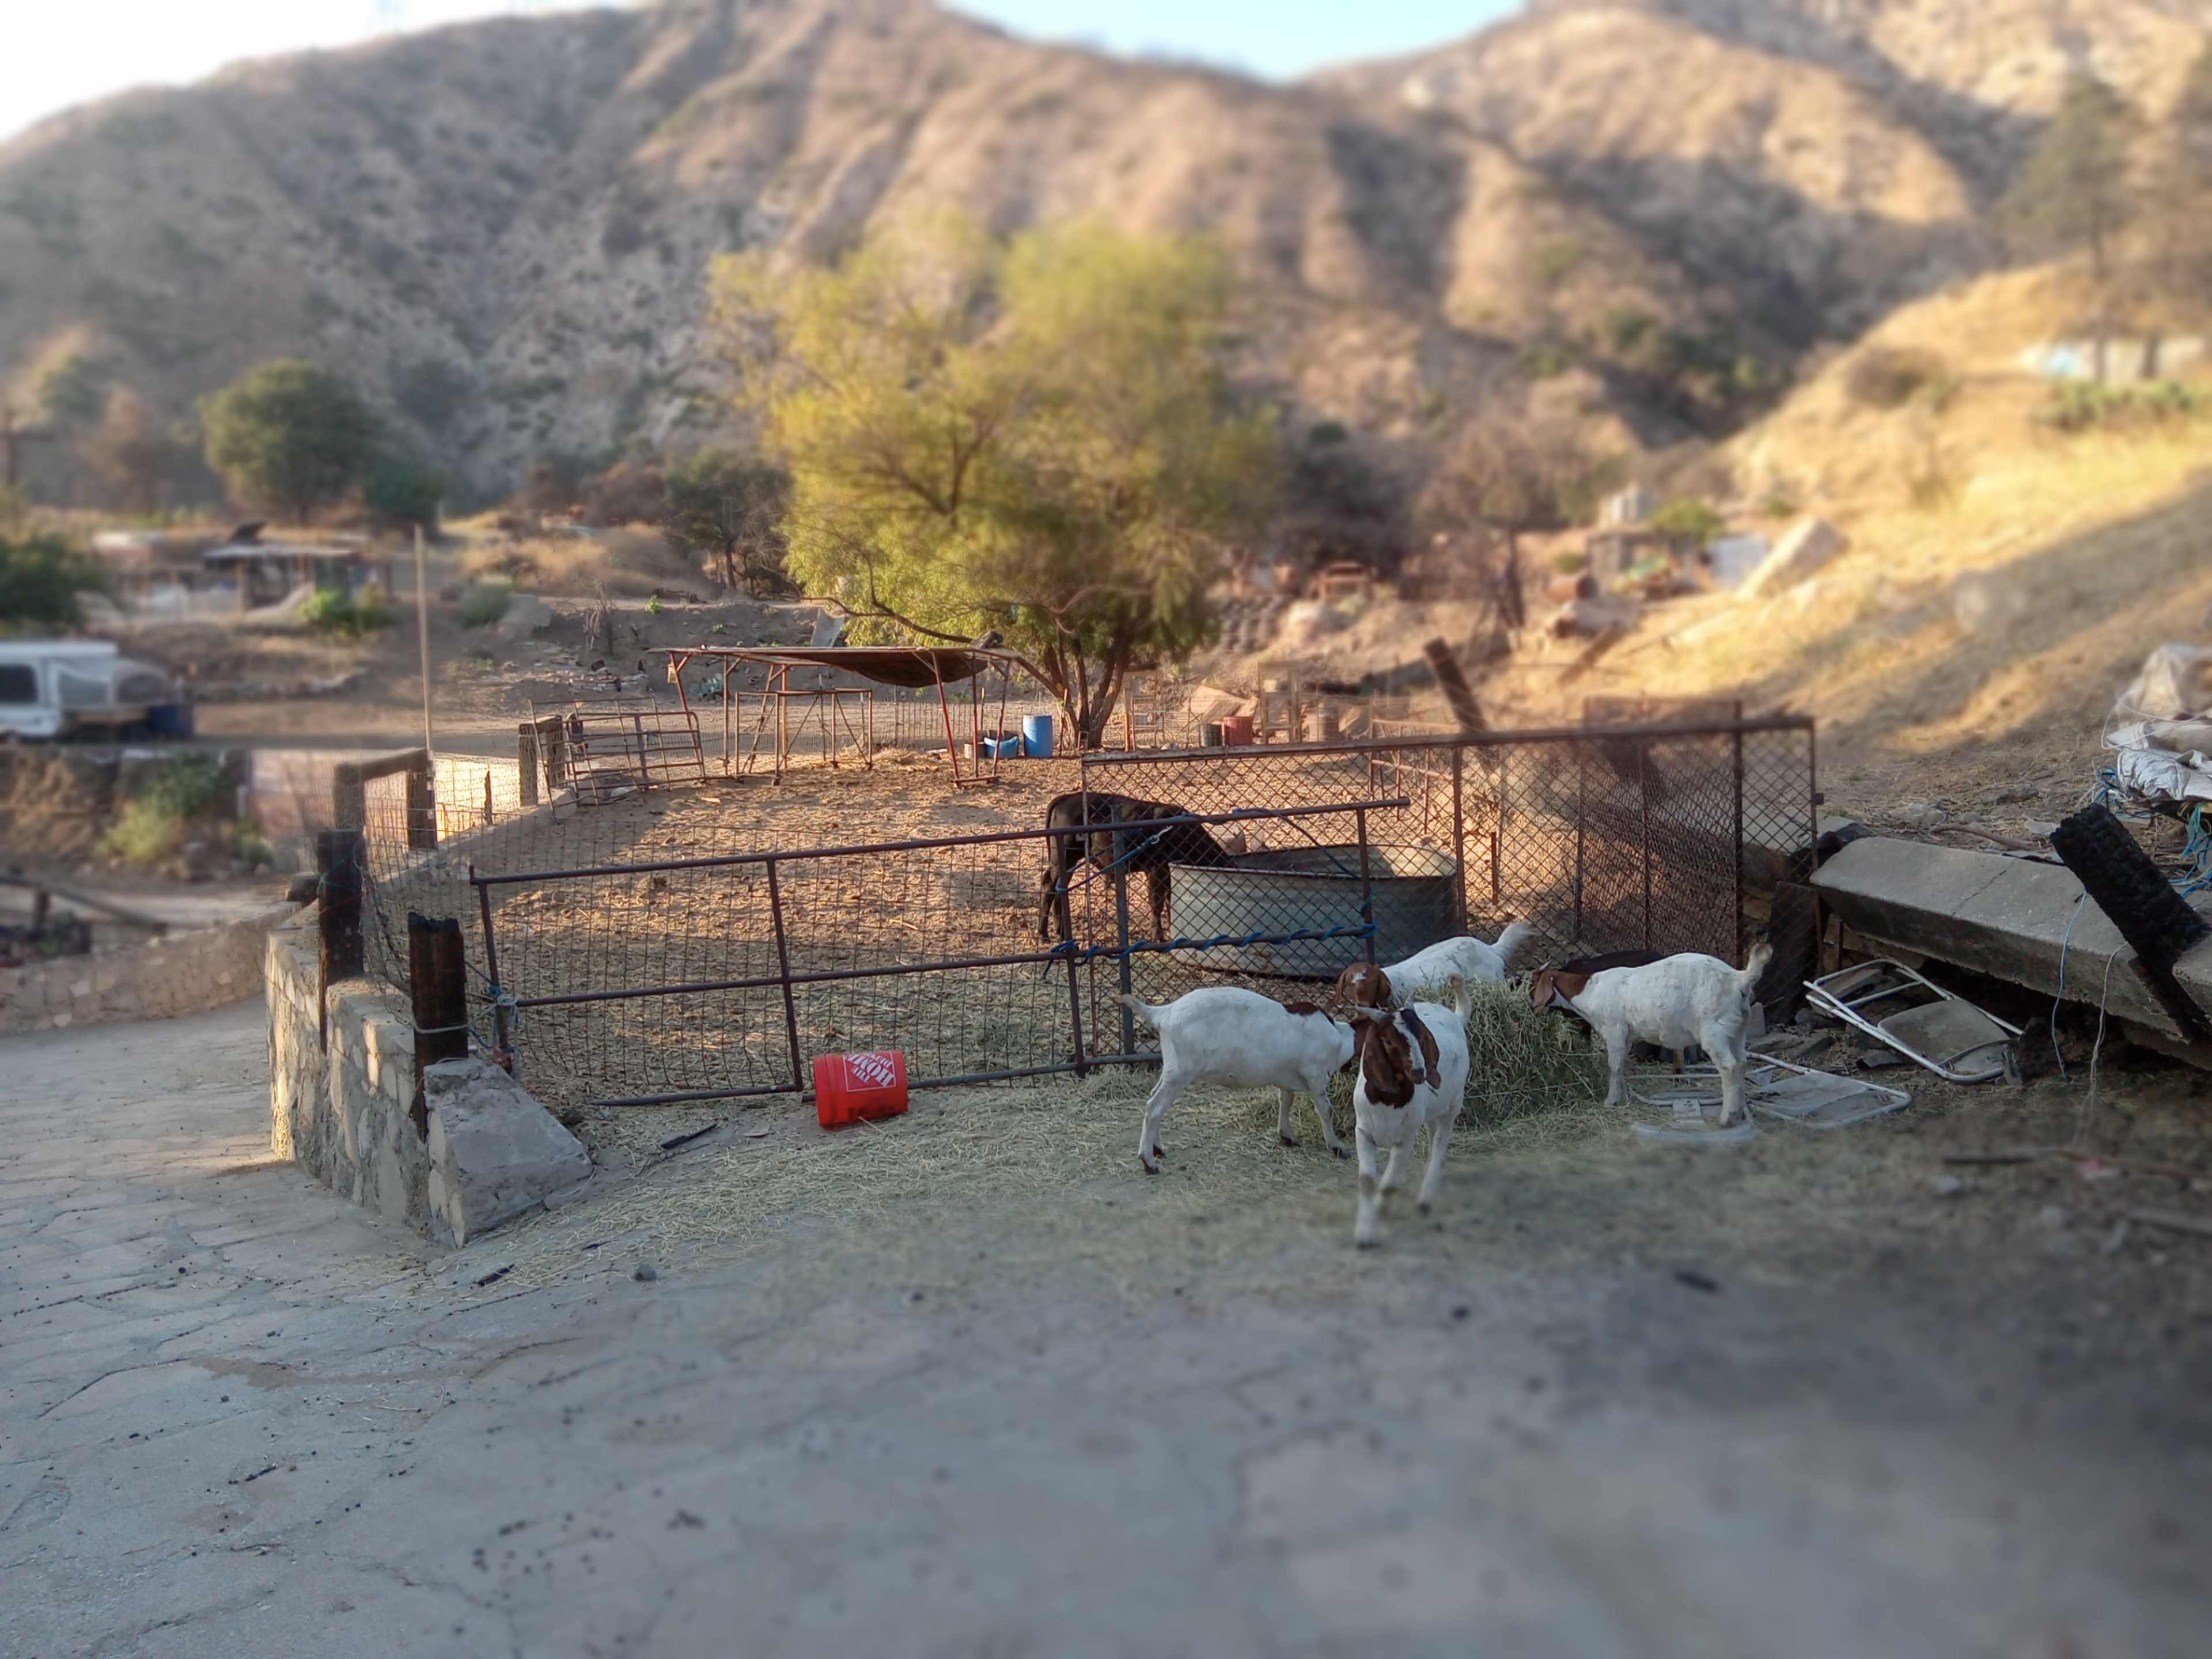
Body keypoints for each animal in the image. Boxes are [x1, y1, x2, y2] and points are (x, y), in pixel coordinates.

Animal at [1037, 792, 1234, 943]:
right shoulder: (1157, 869)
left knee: (1059, 889)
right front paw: (1158, 936)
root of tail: (1065, 798)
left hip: (1068, 862)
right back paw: (1044, 935)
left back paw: (1061, 933)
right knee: (1049, 887)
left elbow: (1170, 900)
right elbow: (1157, 903)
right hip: (1065, 858)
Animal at [1120, 988, 1354, 1174]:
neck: (1340, 1038)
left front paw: (1287, 1137)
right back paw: (1149, 1162)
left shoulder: (1286, 1078)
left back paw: (1157, 1149)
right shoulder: (1316, 1074)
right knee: (1154, 1107)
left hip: (1171, 1069)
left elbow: (1286, 1101)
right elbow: (1325, 1110)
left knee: (1154, 1100)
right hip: (1180, 1072)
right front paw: (1338, 1147)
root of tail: (1164, 1014)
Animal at [1347, 977, 1475, 1248]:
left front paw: (1382, 1210)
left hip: (1454, 1103)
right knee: (1434, 1134)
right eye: (1388, 1041)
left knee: (1440, 1143)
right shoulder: (1363, 1132)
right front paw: (1364, 1233)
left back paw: (1425, 1199)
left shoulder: (1405, 1138)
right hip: (1431, 1112)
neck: (1389, 1101)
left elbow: (1388, 1183)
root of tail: (1456, 1018)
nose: (1419, 1072)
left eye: (1422, 1035)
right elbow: (1367, 1180)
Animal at [1530, 944, 1775, 1125]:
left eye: (1533, 984)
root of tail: (1739, 979)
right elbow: (1621, 1066)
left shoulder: (1615, 1030)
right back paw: (1739, 1112)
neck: (1588, 990)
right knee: (1742, 1064)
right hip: (1738, 1031)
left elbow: (1614, 1066)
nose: (1530, 1006)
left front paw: (1610, 1101)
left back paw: (1726, 1119)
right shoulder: (1627, 1037)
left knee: (1730, 1067)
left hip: (1715, 1030)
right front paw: (1625, 1096)